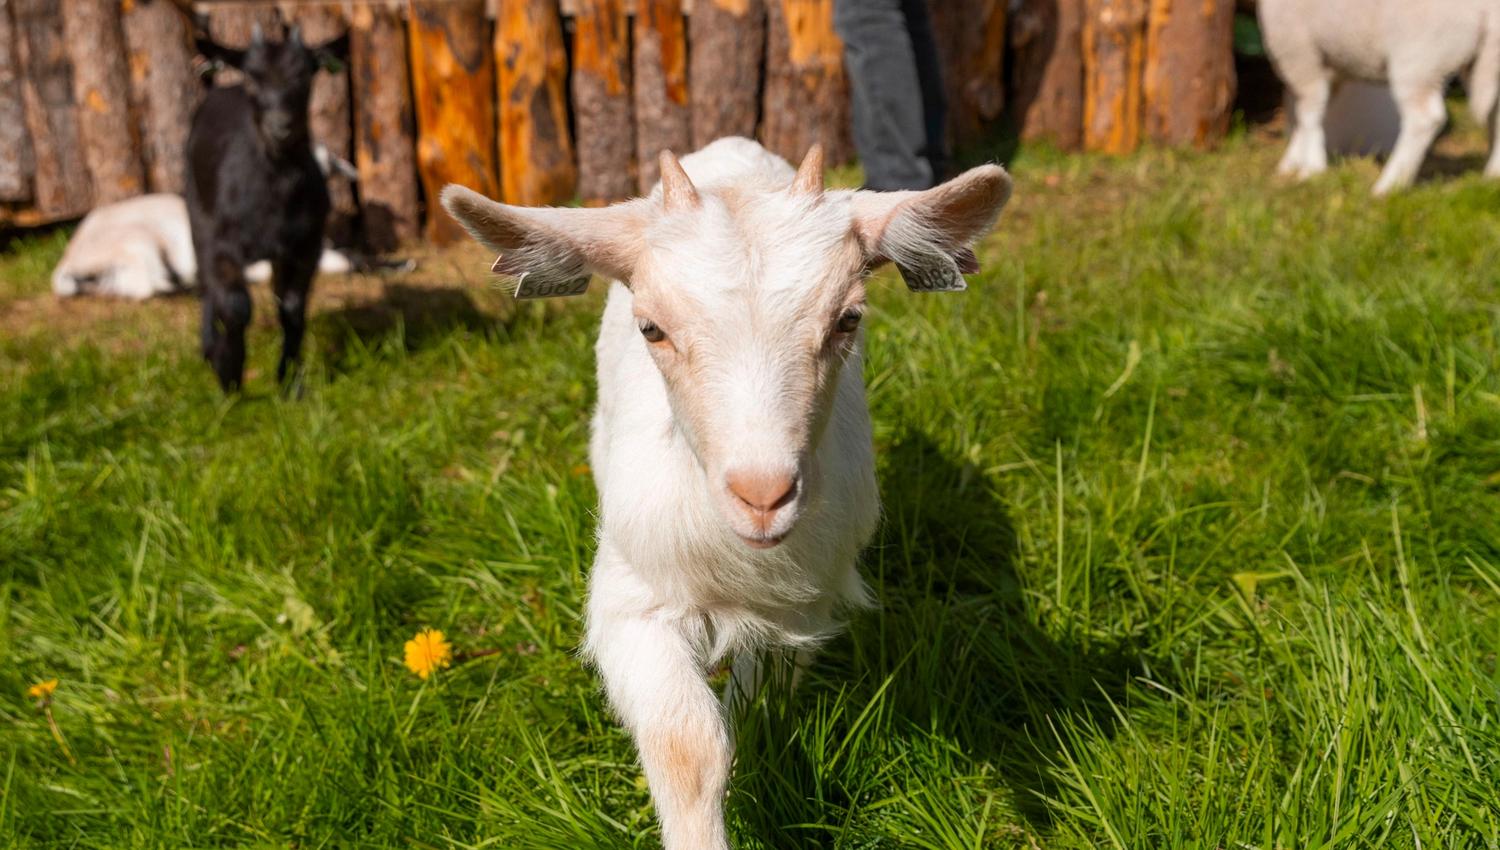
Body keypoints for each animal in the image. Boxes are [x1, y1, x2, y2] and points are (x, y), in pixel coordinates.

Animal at [186, 23, 345, 391]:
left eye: (305, 75)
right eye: (252, 77)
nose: (281, 126)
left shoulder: (306, 245)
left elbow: (292, 307)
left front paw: (291, 382)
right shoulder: (221, 241)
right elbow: (235, 304)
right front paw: (228, 370)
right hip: (194, 207)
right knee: (206, 283)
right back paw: (208, 347)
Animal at [443, 137, 1012, 850]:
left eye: (848, 318)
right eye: (651, 328)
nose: (763, 495)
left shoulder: (800, 604)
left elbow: (748, 705)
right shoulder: (632, 599)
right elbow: (687, 746)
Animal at [1259, 0, 1500, 194]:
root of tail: (1488, 9)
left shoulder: (1300, 53)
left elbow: (1309, 112)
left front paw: (1311, 168)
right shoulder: (1331, 67)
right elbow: (1310, 113)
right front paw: (1291, 162)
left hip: (1419, 57)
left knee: (1424, 119)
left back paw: (1389, 186)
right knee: (1496, 113)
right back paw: (1492, 176)